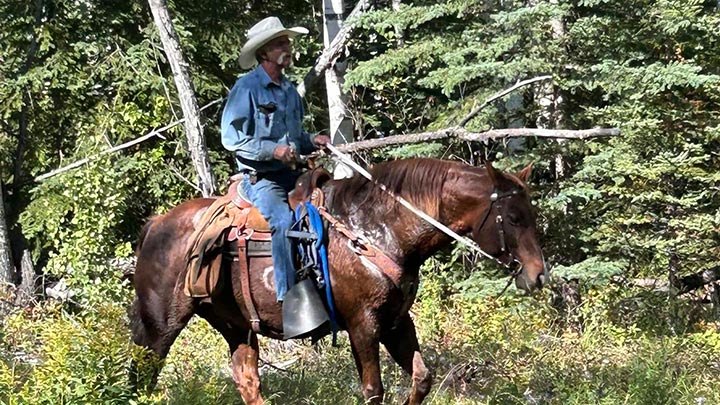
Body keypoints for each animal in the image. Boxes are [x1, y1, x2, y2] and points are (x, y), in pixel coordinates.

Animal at [129, 158, 547, 404]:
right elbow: (373, 390)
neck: (380, 231)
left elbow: (421, 378)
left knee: (247, 380)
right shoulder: (363, 324)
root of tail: (154, 225)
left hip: (236, 326)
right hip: (160, 325)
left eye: (531, 214)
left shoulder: (396, 322)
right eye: (513, 218)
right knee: (142, 374)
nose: (538, 274)